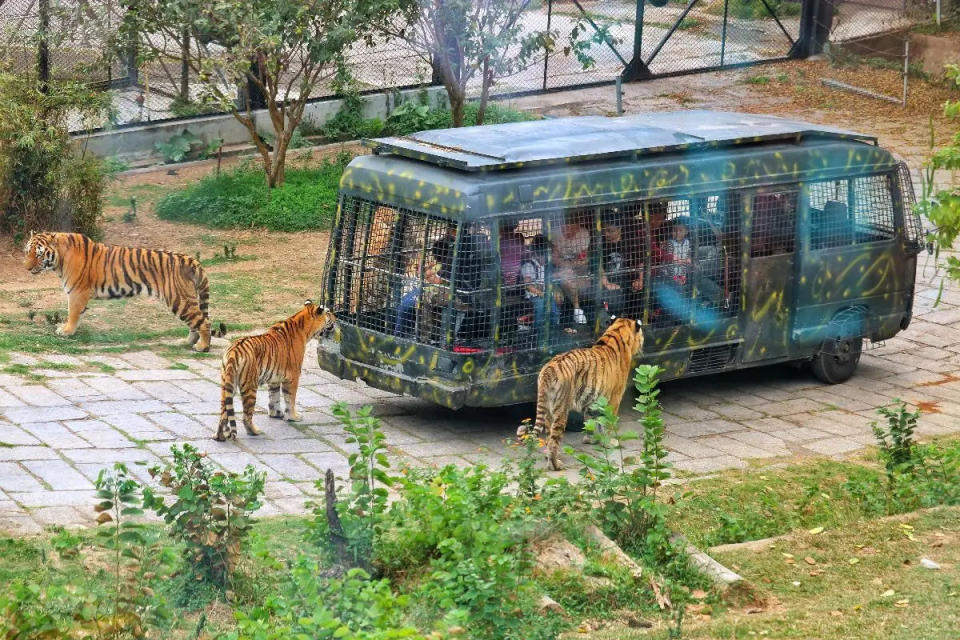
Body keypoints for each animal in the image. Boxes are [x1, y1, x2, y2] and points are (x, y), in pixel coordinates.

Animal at [217, 300, 338, 440]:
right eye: (328, 312)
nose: (337, 318)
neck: (304, 328)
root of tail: (233, 350)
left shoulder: (274, 378)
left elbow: (274, 397)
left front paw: (276, 414)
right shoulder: (293, 376)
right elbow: (290, 399)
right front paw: (293, 417)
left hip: (227, 385)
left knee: (223, 413)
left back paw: (219, 436)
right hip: (250, 386)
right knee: (246, 415)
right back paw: (254, 431)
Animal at [516, 316, 644, 470]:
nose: (643, 342)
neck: (617, 332)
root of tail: (549, 369)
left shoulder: (593, 401)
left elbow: (592, 421)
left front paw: (591, 440)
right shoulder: (615, 398)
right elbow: (608, 423)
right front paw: (609, 443)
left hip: (548, 410)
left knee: (548, 435)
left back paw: (551, 456)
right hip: (561, 411)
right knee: (553, 440)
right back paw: (555, 465)